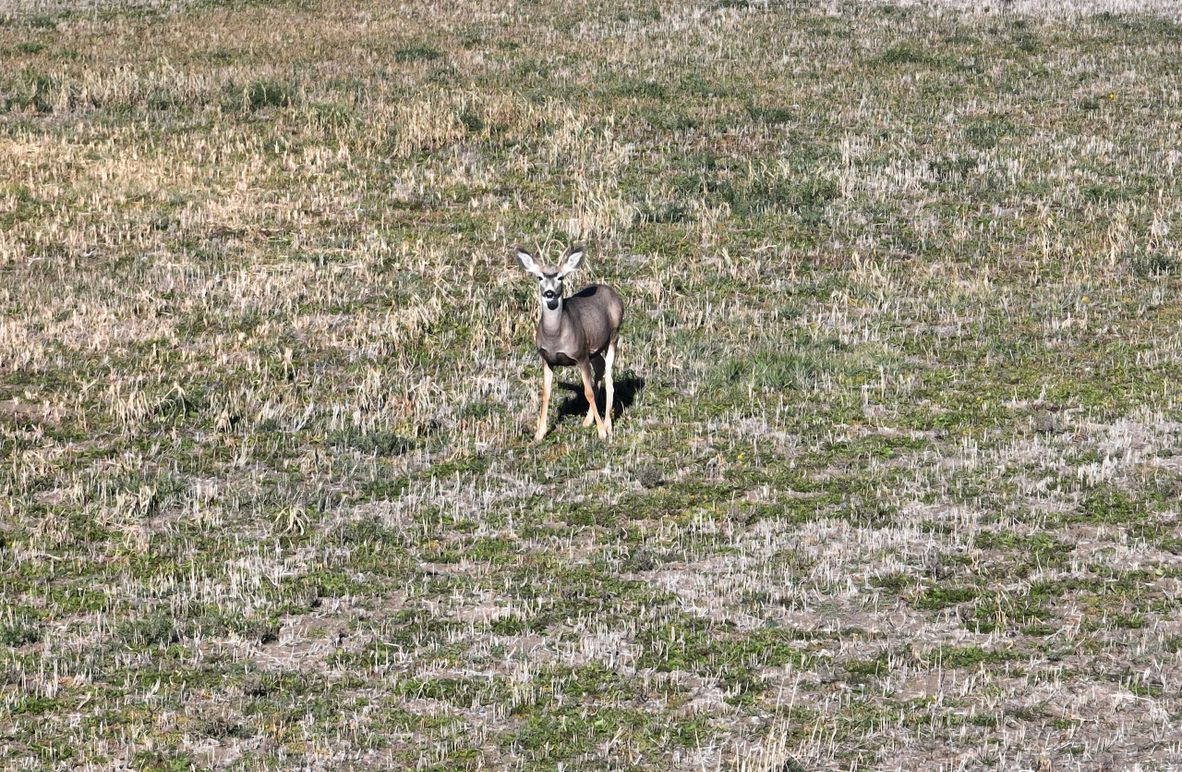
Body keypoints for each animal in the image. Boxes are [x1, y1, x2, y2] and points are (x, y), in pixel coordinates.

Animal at [514, 244, 624, 442]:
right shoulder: (547, 359)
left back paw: (608, 425)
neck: (555, 337)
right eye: (539, 277)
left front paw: (601, 432)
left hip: (613, 336)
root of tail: (614, 294)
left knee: (609, 377)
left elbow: (588, 392)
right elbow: (546, 392)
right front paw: (539, 433)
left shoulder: (580, 355)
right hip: (594, 350)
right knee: (600, 368)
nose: (549, 293)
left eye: (560, 277)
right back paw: (587, 421)